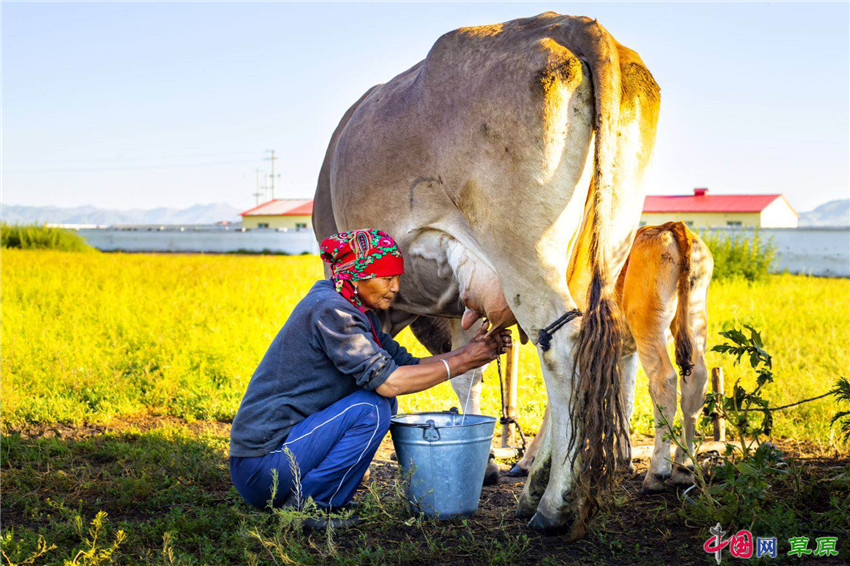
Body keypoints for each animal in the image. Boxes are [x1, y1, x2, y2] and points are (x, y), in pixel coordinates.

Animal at [314, 13, 664, 536]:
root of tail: (573, 24)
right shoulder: (462, 300)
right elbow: (468, 371)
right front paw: (485, 466)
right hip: (604, 243)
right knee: (600, 342)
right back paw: (540, 485)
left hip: (523, 250)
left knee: (563, 344)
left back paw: (555, 504)